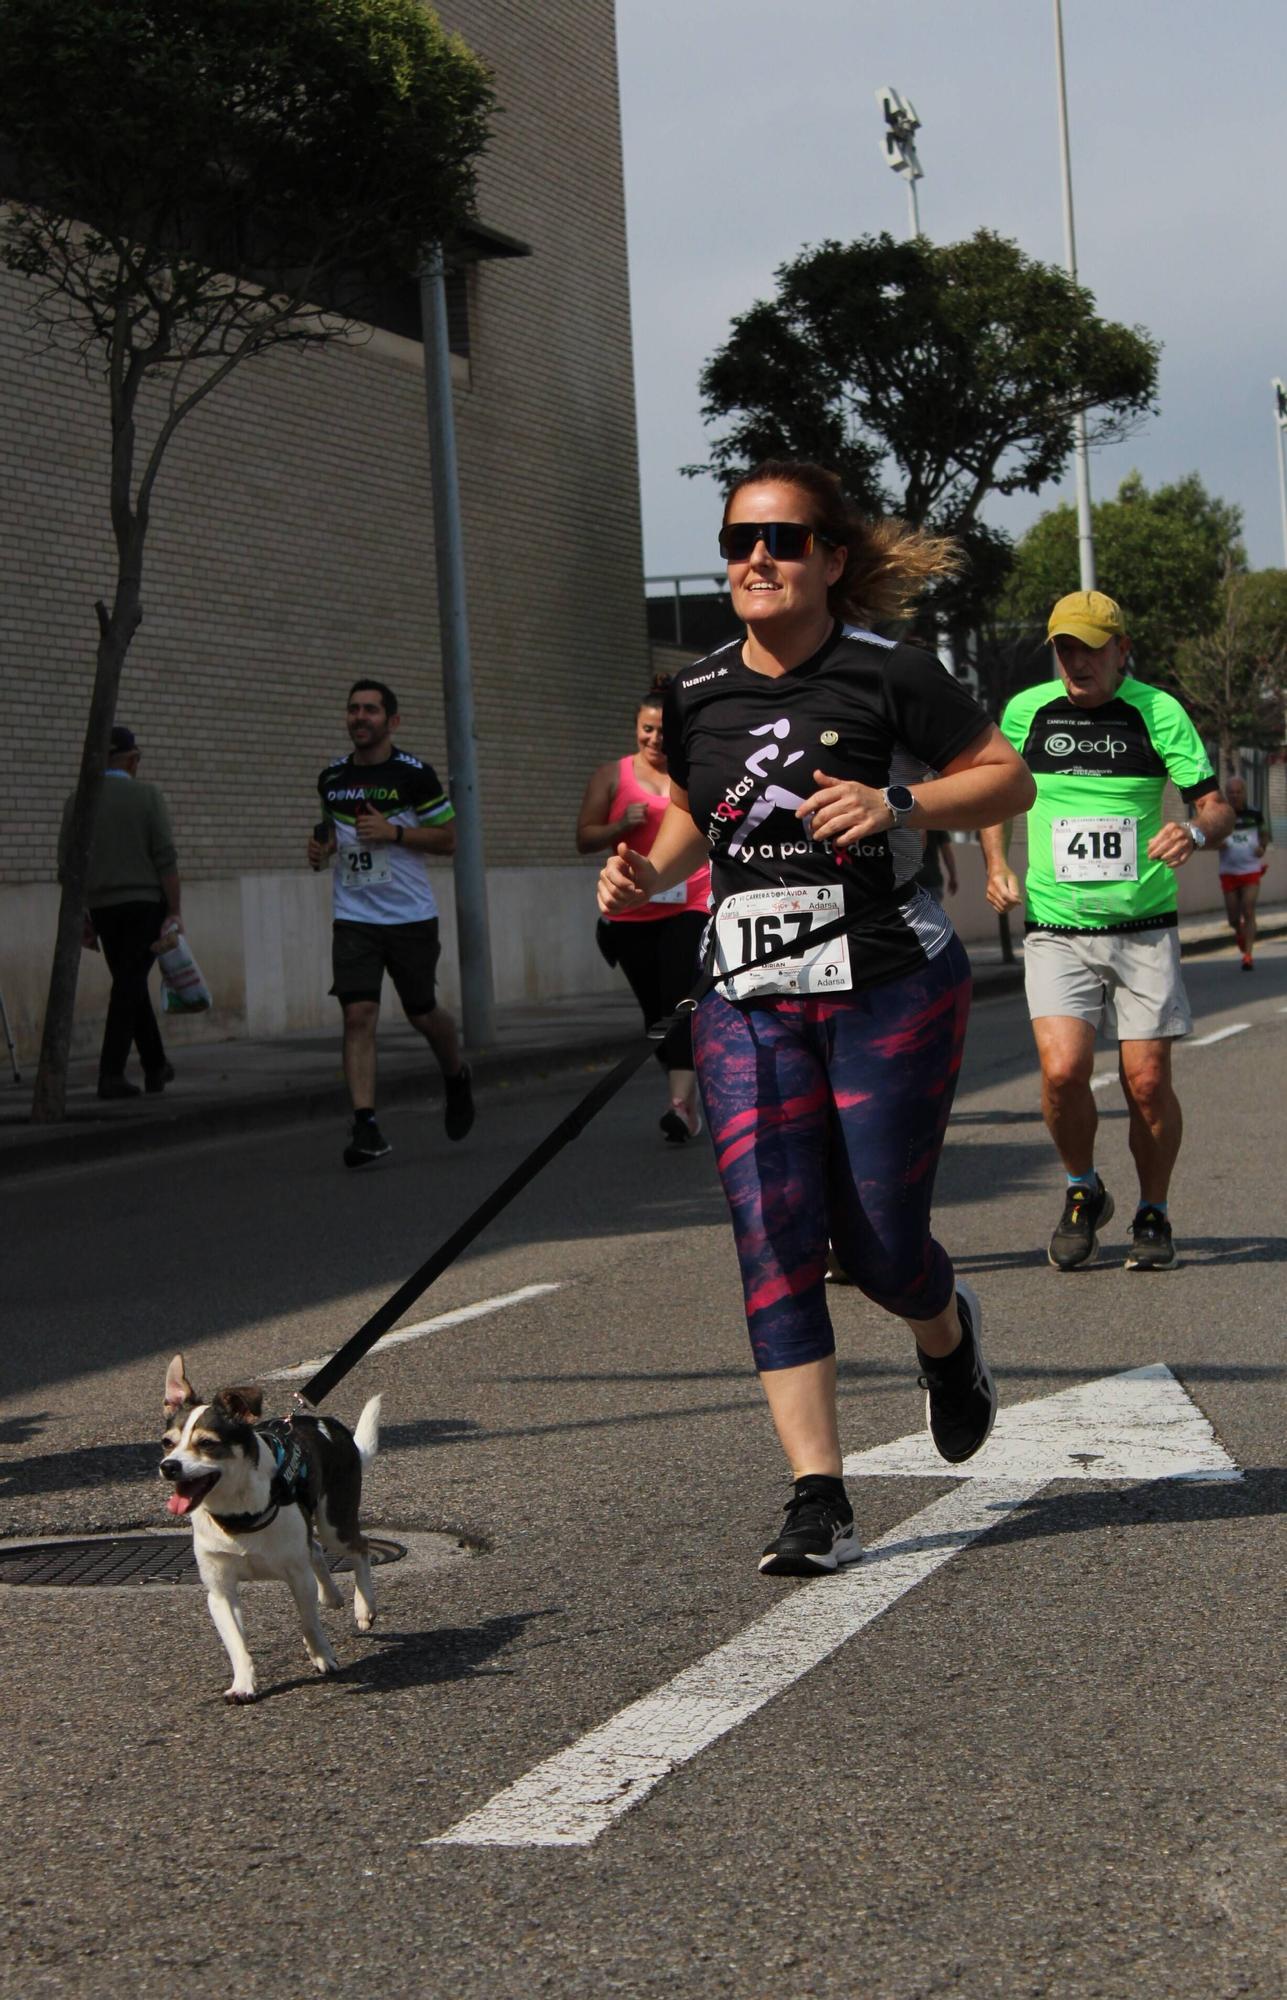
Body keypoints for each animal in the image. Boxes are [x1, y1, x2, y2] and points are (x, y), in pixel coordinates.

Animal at [160, 1352, 381, 1696]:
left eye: (207, 1443)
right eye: (167, 1443)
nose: (168, 1466)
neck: (237, 1514)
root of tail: (328, 1425)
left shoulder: (298, 1577)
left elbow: (309, 1623)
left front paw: (322, 1655)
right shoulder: (220, 1591)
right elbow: (236, 1643)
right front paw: (243, 1684)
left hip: (335, 1523)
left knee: (359, 1547)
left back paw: (364, 1607)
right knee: (316, 1549)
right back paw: (331, 1595)